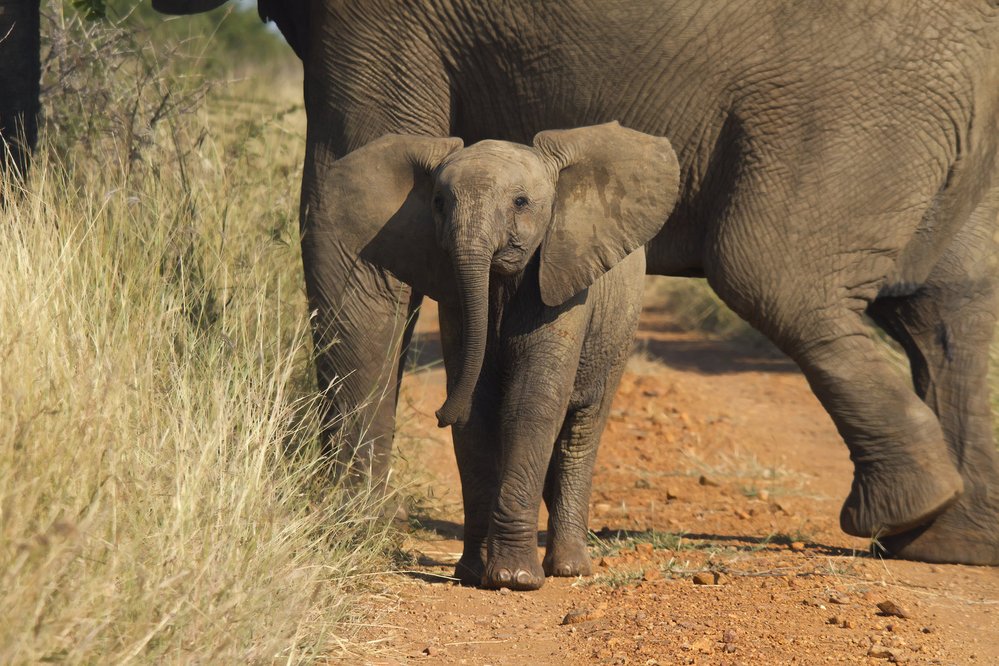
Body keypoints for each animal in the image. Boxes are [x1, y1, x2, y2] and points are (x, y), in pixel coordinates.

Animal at [324, 123, 684, 588]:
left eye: (521, 202)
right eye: (439, 203)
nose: (438, 414)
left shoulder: (562, 283)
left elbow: (529, 404)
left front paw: (515, 578)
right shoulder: (455, 300)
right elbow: (476, 414)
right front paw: (473, 573)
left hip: (618, 331)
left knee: (581, 432)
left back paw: (569, 567)